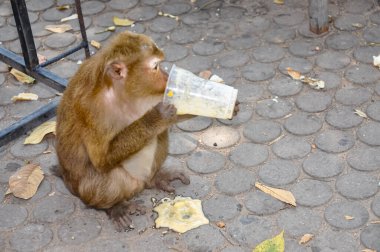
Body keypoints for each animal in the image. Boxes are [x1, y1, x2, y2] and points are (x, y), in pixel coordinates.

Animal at [55, 30, 239, 231]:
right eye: (156, 66)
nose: (167, 77)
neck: (119, 92)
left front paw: (231, 106)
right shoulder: (90, 108)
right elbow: (101, 160)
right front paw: (156, 117)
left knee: (159, 134)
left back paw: (155, 179)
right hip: (102, 189)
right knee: (107, 176)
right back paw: (115, 207)